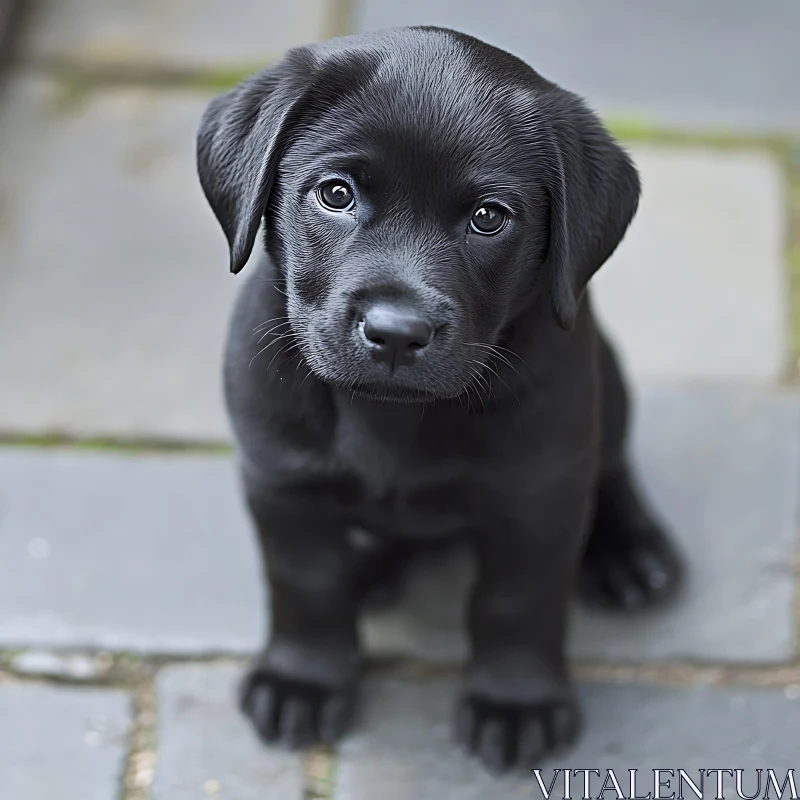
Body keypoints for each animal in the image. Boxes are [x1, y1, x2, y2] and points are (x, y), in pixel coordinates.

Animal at [195, 28, 680, 772]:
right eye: (335, 194)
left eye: (488, 218)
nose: (397, 332)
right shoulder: (281, 481)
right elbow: (305, 583)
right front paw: (303, 679)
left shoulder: (538, 496)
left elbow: (517, 602)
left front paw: (516, 702)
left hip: (604, 382)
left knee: (612, 464)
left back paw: (629, 550)